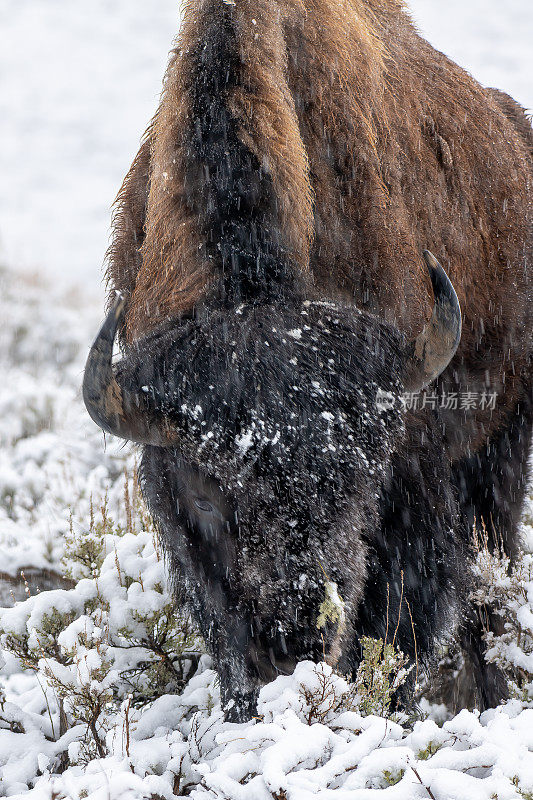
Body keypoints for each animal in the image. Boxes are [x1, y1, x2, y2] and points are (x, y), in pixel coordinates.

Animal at [81, 0, 528, 720]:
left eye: (360, 478)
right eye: (210, 492)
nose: (296, 633)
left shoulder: (416, 472)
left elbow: (400, 620)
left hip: (504, 446)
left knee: (492, 588)